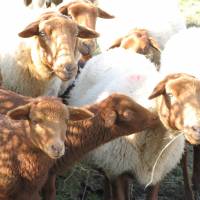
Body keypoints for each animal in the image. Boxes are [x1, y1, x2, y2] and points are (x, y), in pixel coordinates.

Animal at [0, 87, 159, 200]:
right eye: (128, 114)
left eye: (66, 120)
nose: (155, 117)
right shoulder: (47, 175)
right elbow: (49, 194)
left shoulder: (50, 173)